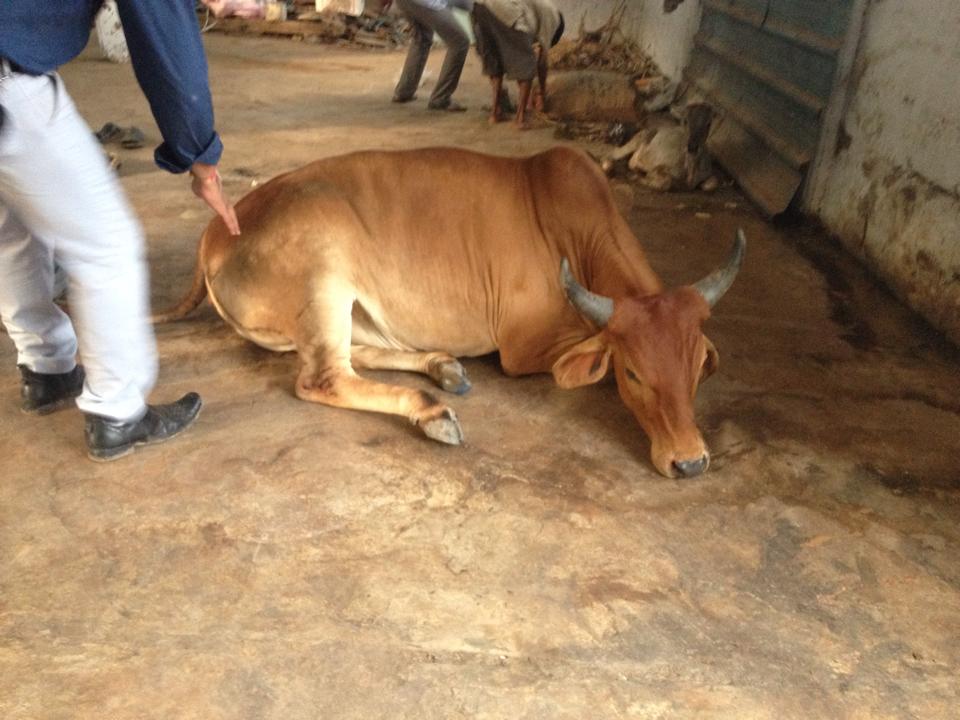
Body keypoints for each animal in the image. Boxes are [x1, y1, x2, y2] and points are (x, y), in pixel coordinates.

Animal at [155, 146, 744, 478]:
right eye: (633, 374)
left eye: (697, 367)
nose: (690, 461)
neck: (574, 232)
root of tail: (215, 231)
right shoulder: (522, 348)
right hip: (325, 275)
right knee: (323, 377)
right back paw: (432, 410)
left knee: (356, 355)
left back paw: (442, 366)